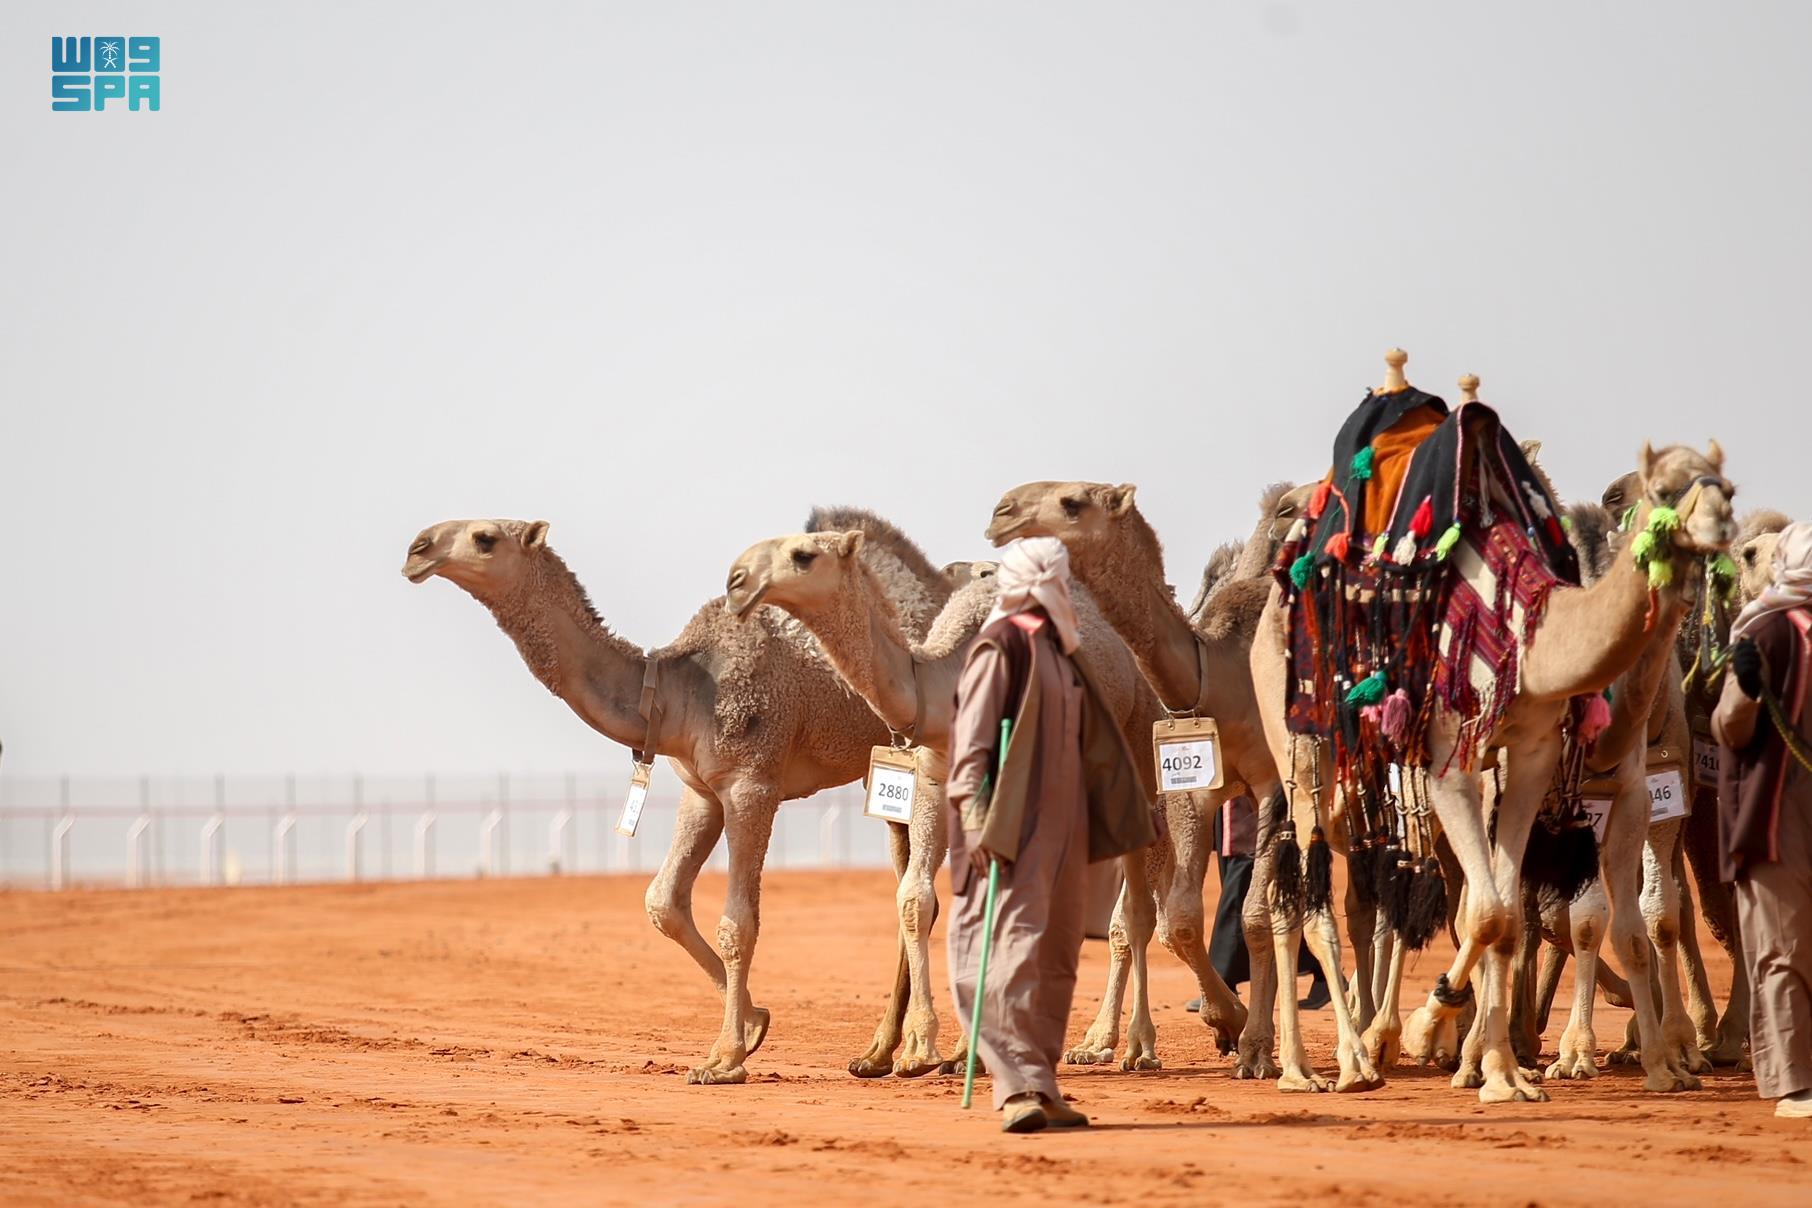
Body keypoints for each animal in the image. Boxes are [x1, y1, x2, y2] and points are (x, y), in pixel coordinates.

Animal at [402, 510, 956, 1086]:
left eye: (485, 537)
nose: (417, 550)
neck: (675, 690)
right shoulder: (701, 792)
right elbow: (662, 902)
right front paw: (754, 1024)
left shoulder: (751, 783)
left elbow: (738, 923)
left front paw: (726, 1058)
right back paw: (882, 1053)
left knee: (927, 889)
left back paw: (934, 1053)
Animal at [713, 525, 1253, 1072]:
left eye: (804, 554)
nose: (736, 580)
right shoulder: (937, 779)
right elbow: (916, 898)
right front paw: (924, 1049)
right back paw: (1104, 1040)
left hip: (1138, 748)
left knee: (1137, 906)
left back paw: (1154, 1040)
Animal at [985, 478, 1340, 1086]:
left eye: (1074, 502)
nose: (1000, 512)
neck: (1214, 675)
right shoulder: (1192, 790)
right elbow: (1177, 921)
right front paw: (1226, 1024)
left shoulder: (1271, 783)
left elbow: (1253, 915)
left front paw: (1253, 1045)